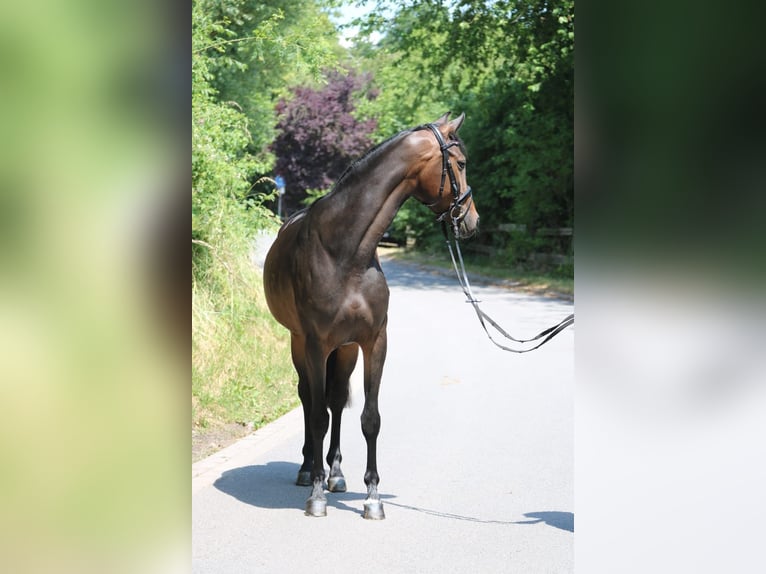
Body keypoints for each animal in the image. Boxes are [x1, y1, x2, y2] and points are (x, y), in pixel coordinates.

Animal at [264, 110, 480, 520]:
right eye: (460, 163)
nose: (472, 220)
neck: (346, 252)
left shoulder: (373, 341)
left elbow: (369, 417)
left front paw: (372, 496)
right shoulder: (316, 344)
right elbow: (317, 415)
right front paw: (316, 496)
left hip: (345, 349)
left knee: (334, 400)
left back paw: (335, 472)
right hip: (299, 343)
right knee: (309, 399)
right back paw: (308, 470)